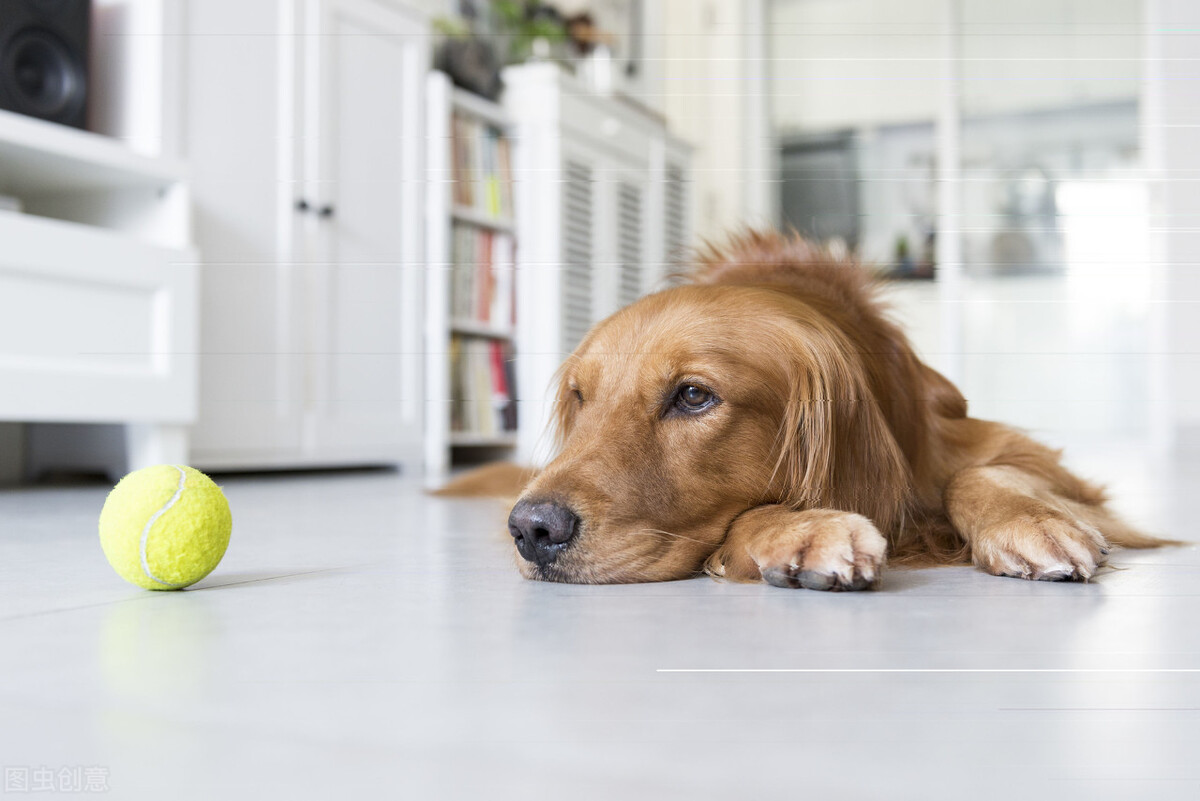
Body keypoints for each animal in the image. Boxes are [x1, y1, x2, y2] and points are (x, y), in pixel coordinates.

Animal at [492, 231, 1166, 587]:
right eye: (581, 398)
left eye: (693, 396)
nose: (532, 529)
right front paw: (801, 528)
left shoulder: (1018, 453)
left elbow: (982, 472)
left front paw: (1029, 521)